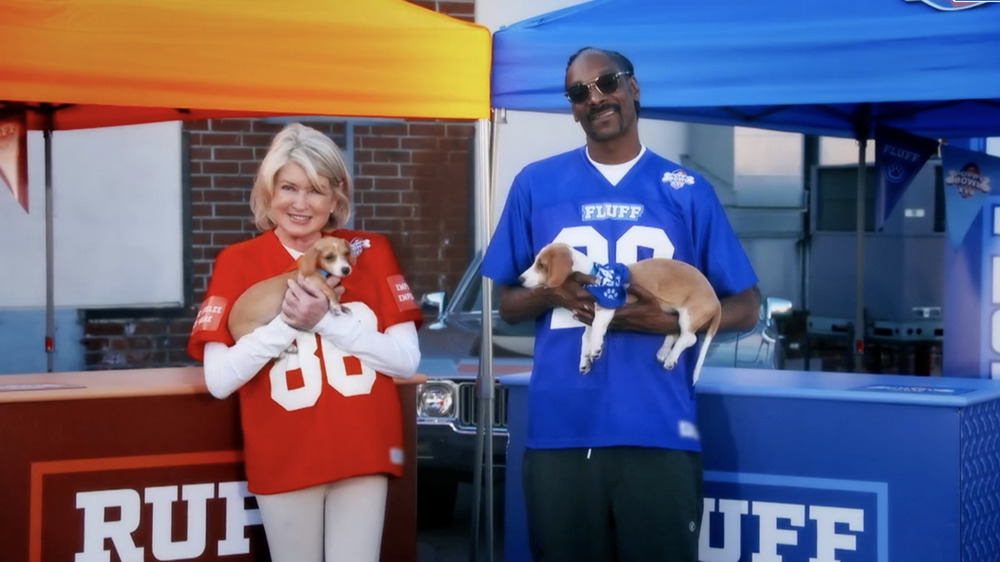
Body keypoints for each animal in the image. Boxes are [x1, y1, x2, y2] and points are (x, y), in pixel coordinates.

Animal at [228, 235, 356, 340]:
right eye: (329, 257)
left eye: (346, 254)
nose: (346, 270)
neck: (319, 270)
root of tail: (230, 323)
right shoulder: (313, 281)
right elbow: (330, 289)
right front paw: (335, 305)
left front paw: (343, 307)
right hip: (251, 330)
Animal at [520, 241, 724, 380]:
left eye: (541, 265)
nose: (520, 279)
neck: (594, 274)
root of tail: (715, 300)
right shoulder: (588, 316)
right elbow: (585, 337)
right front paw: (585, 358)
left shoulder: (608, 305)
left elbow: (597, 326)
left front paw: (595, 348)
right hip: (673, 313)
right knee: (674, 332)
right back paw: (664, 351)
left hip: (689, 315)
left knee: (689, 338)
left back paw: (671, 358)